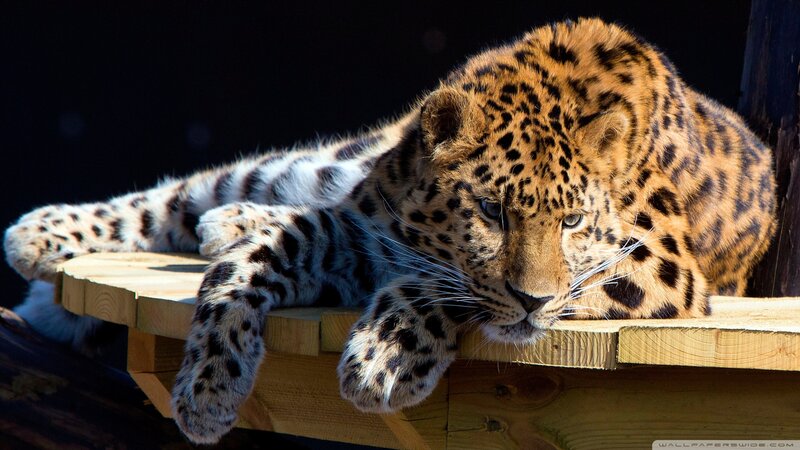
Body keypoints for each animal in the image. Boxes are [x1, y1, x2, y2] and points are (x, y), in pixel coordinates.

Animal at [4, 18, 776, 444]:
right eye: (491, 212)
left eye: (573, 221)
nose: (532, 303)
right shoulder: (362, 233)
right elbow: (255, 262)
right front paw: (208, 386)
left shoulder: (660, 269)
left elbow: (443, 288)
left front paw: (384, 358)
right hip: (313, 167)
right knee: (195, 191)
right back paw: (42, 235)